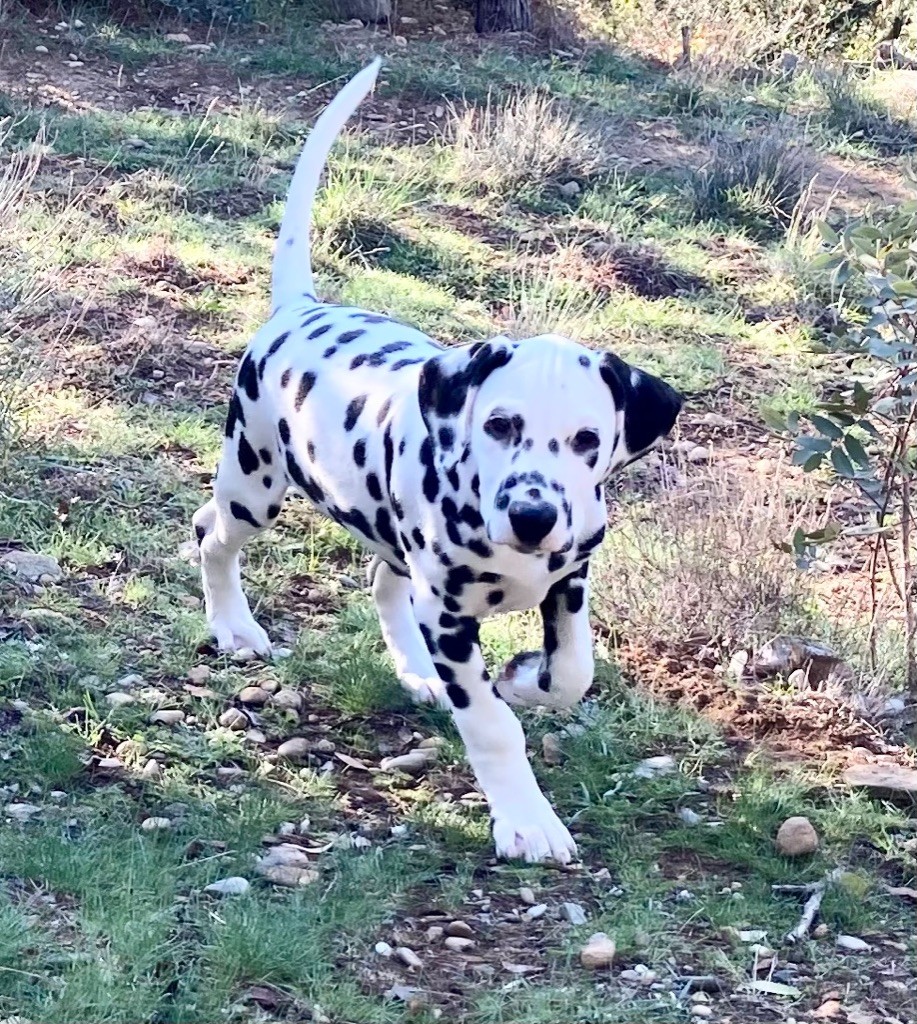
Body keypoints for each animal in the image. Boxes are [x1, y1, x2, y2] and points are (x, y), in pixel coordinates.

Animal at [191, 59, 679, 864]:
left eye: (587, 440)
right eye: (501, 424)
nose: (534, 515)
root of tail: (299, 309)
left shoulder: (569, 579)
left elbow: (573, 671)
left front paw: (526, 675)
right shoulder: (451, 616)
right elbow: (489, 722)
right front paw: (526, 819)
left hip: (384, 532)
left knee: (383, 583)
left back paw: (415, 668)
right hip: (254, 480)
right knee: (213, 533)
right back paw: (235, 626)